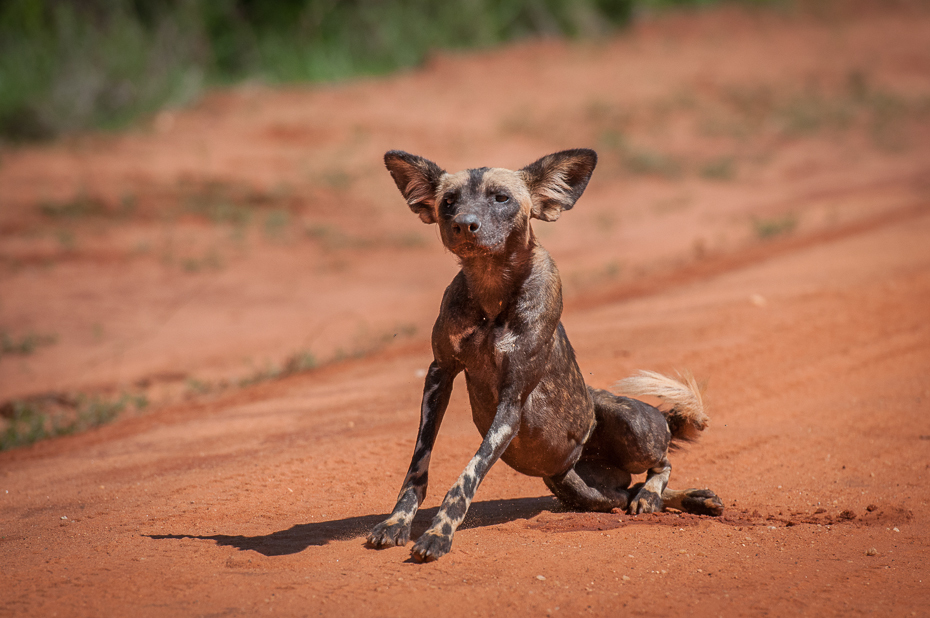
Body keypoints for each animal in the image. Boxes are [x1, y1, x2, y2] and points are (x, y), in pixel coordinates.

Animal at [366, 148, 720, 560]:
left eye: (500, 198)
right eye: (449, 202)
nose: (464, 225)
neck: (491, 293)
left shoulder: (511, 402)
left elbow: (465, 478)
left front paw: (439, 533)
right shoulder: (439, 375)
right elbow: (417, 470)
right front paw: (396, 523)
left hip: (631, 424)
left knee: (662, 464)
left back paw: (656, 496)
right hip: (579, 487)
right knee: (626, 492)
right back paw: (692, 499)